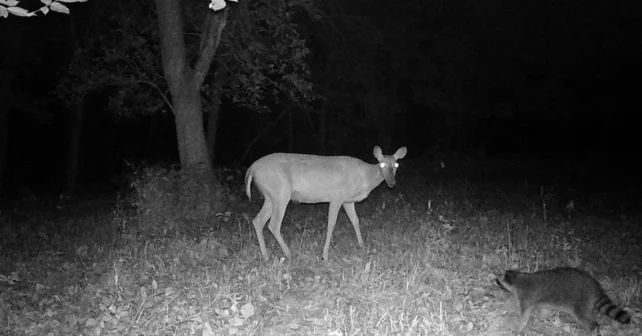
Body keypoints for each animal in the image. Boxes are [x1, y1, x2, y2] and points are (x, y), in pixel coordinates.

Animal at [245, 146, 404, 262]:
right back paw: (289, 254)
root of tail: (251, 168)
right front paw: (325, 255)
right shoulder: (337, 197)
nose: (392, 183)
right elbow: (331, 224)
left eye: (396, 164)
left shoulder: (348, 200)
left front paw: (362, 245)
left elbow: (355, 221)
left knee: (258, 221)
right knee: (273, 224)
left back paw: (265, 256)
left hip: (269, 196)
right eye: (382, 164)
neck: (364, 177)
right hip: (281, 193)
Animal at [496, 266, 632, 332]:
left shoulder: (526, 297)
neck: (517, 278)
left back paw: (593, 328)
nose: (494, 281)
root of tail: (594, 284)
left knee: (585, 318)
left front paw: (519, 327)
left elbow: (525, 314)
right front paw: (543, 316)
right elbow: (544, 308)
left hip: (581, 302)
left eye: (498, 280)